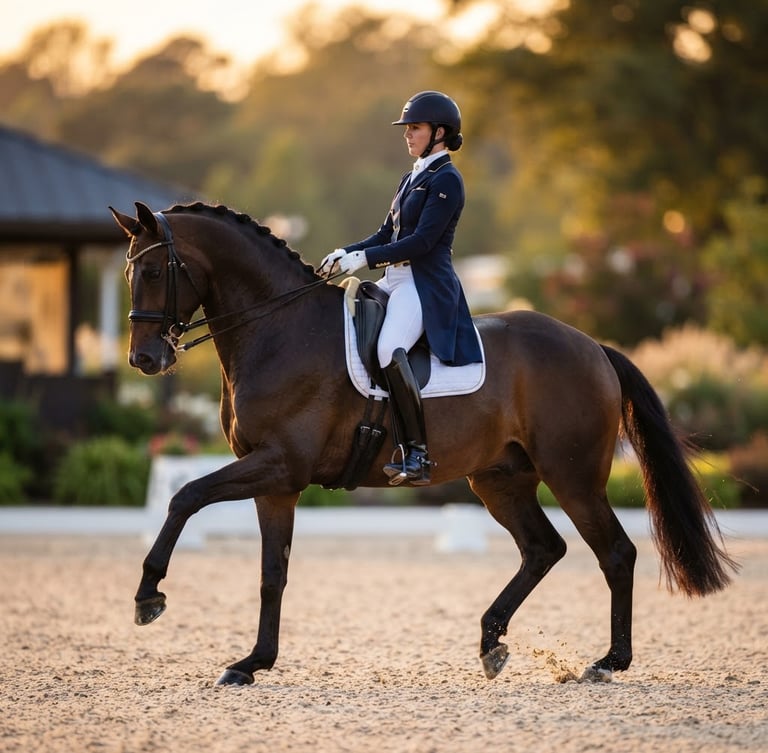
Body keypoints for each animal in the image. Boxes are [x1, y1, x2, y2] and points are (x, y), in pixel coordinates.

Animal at [110, 201, 738, 687]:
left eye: (156, 272)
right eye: (128, 272)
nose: (144, 360)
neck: (278, 329)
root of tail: (593, 347)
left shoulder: (277, 466)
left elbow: (184, 497)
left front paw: (148, 596)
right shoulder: (276, 482)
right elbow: (272, 573)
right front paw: (252, 662)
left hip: (574, 477)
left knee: (615, 553)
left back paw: (608, 662)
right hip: (500, 480)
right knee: (543, 549)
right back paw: (491, 643)